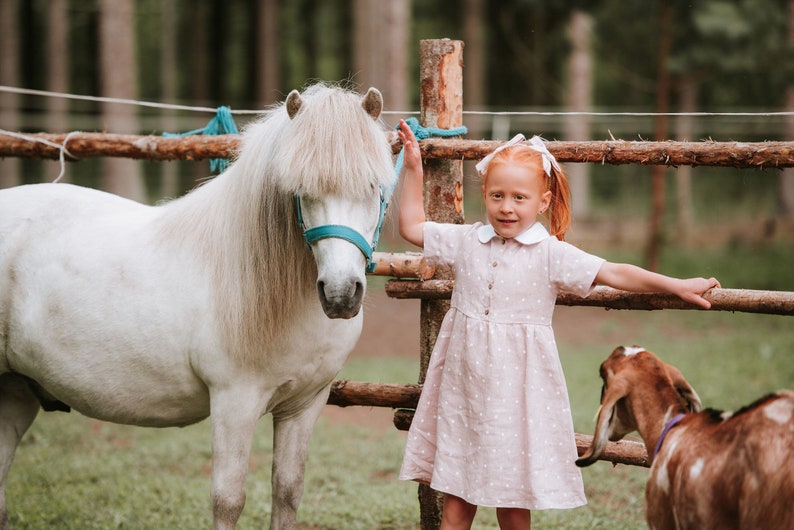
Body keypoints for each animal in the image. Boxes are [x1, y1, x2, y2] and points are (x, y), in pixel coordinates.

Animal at [0, 83, 394, 528]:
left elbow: (287, 491)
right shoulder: (233, 401)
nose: (341, 293)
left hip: (14, 392)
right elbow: (228, 500)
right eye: (301, 191)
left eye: (373, 186)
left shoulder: (305, 404)